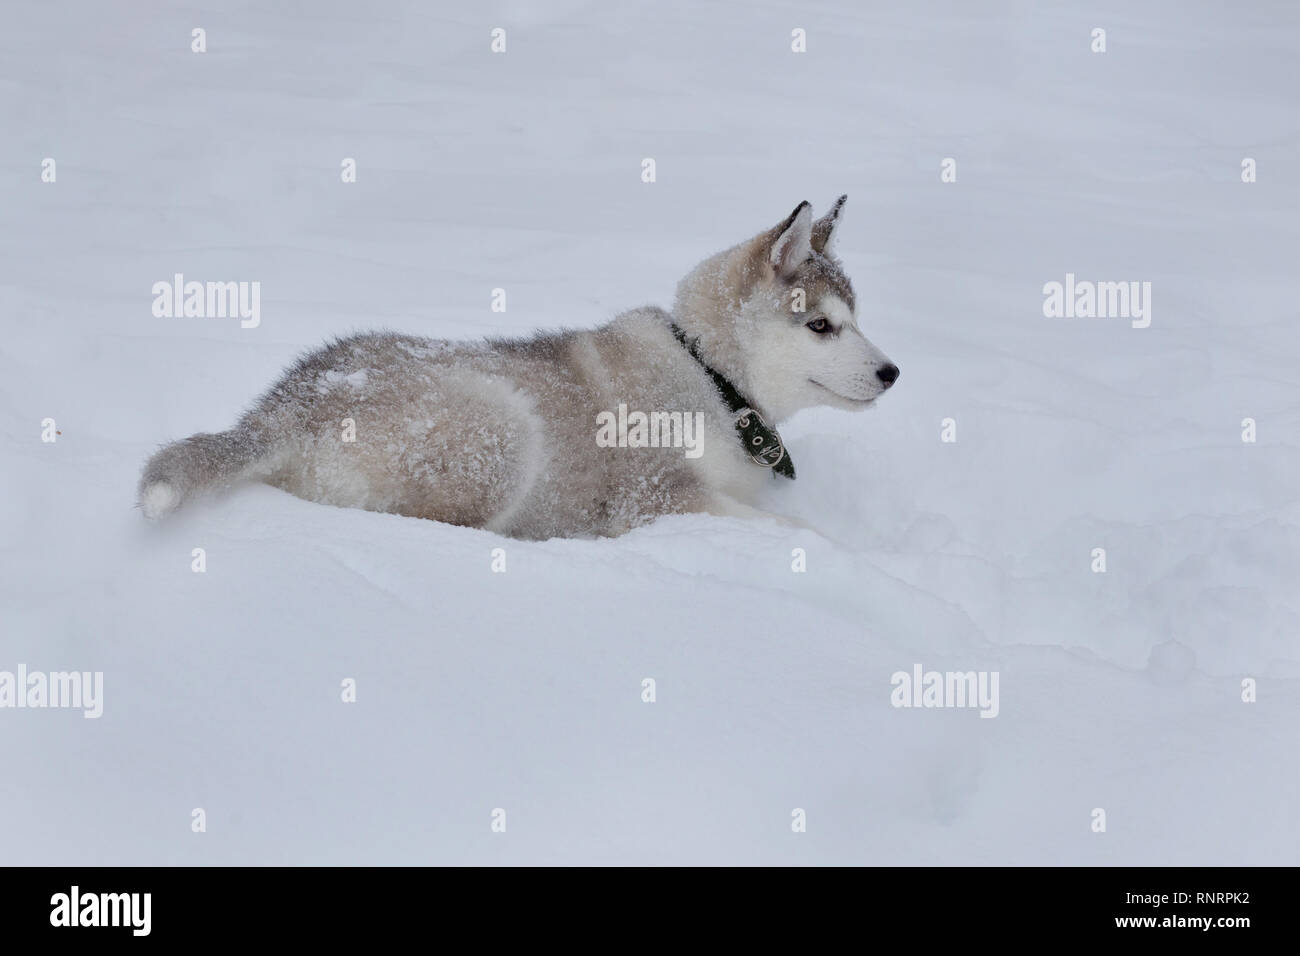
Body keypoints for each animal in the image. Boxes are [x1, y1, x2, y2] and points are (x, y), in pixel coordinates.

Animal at [139, 196, 894, 538]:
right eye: (821, 325)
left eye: (857, 315)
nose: (893, 374)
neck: (709, 373)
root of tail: (285, 407)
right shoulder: (655, 497)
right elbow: (796, 531)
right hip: (504, 431)